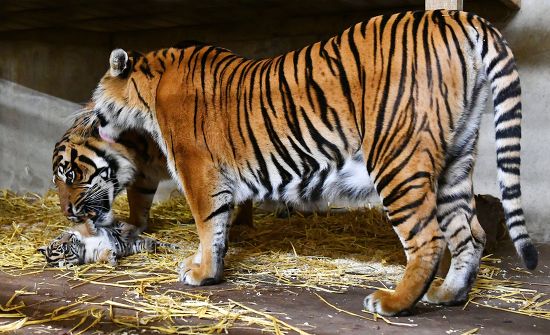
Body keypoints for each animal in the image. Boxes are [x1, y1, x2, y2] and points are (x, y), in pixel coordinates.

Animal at [89, 9, 540, 316]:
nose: (94, 119)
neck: (150, 88)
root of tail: (455, 16)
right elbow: (221, 223)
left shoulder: (198, 170)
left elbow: (208, 225)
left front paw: (203, 273)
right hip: (456, 159)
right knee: (471, 234)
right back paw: (447, 294)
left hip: (398, 159)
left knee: (429, 238)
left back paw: (393, 302)